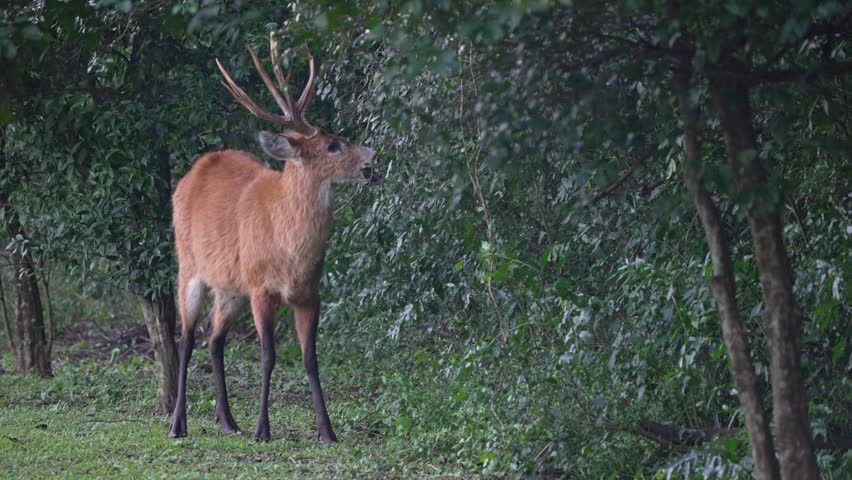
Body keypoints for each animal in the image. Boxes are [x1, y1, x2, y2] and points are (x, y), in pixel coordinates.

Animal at [168, 33, 379, 443]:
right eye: (333, 144)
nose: (372, 159)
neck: (289, 248)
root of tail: (194, 170)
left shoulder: (310, 293)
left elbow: (310, 358)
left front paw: (327, 431)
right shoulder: (261, 288)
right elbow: (268, 356)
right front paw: (262, 429)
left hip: (230, 286)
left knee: (214, 337)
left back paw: (227, 421)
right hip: (189, 265)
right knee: (185, 338)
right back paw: (178, 424)